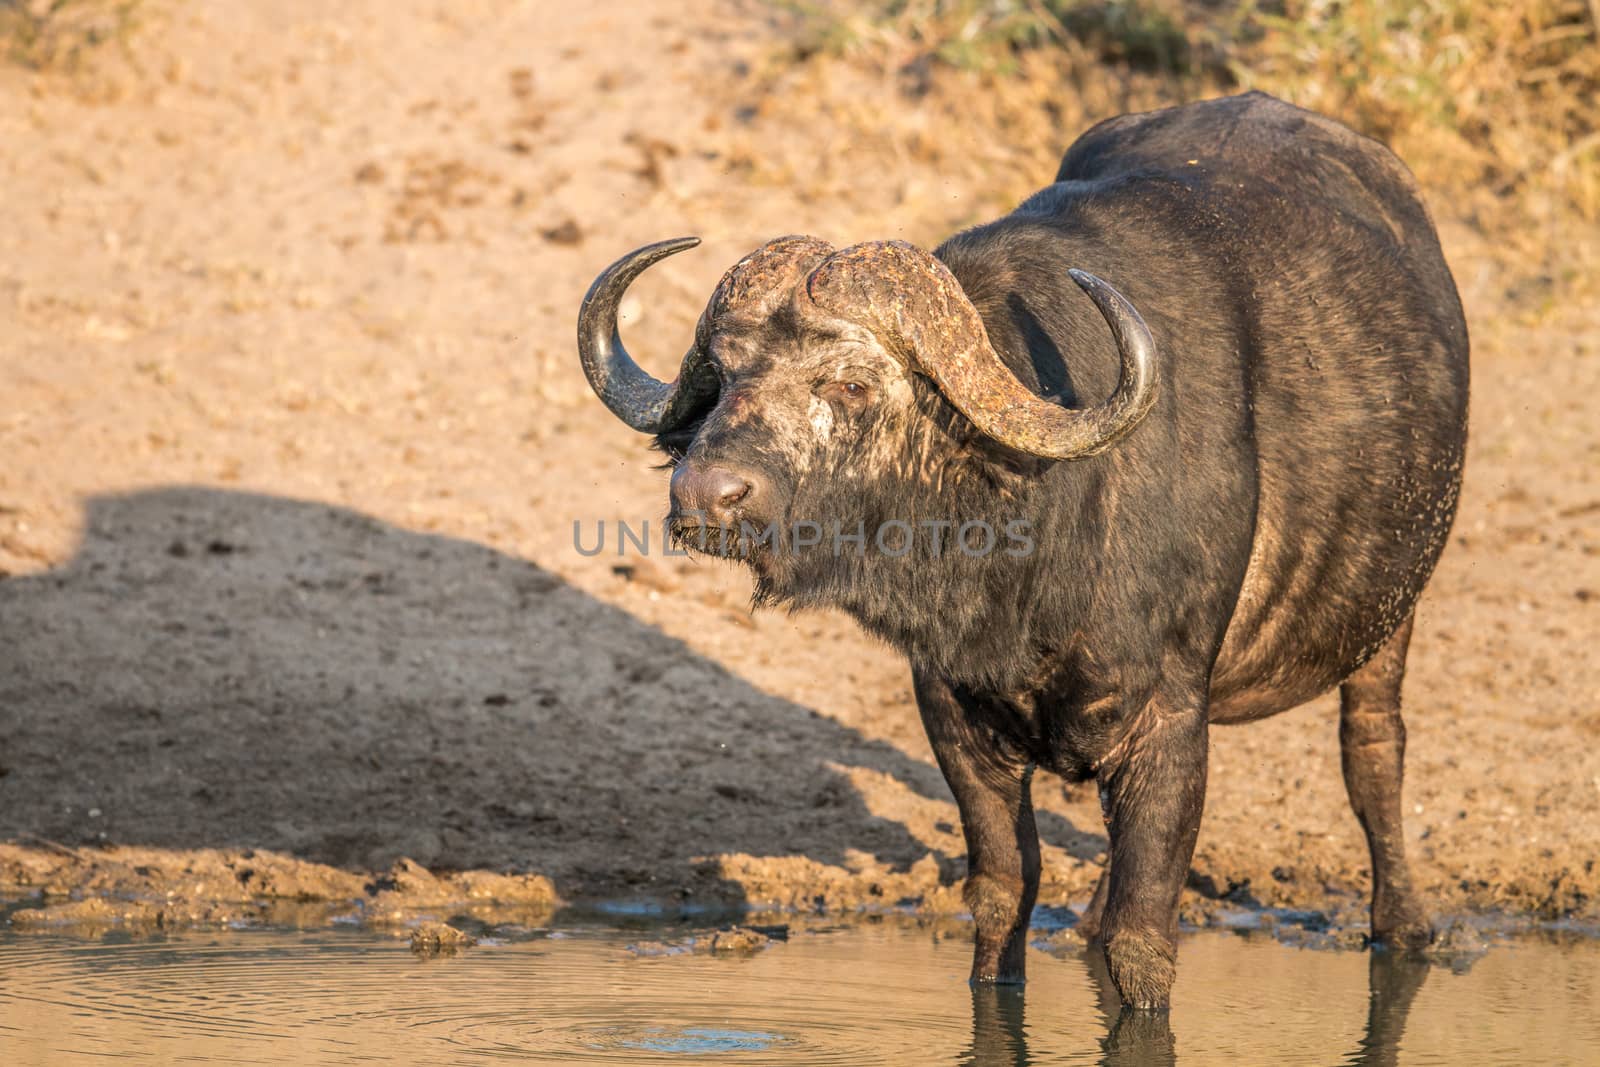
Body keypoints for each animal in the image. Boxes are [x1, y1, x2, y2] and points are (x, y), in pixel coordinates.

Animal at [572, 91, 1465, 1011]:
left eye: (851, 383)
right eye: (723, 372)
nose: (703, 495)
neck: (1028, 562)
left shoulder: (1172, 722)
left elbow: (1146, 937)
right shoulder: (953, 711)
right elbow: (1003, 893)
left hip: (1391, 615)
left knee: (1374, 753)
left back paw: (1404, 923)